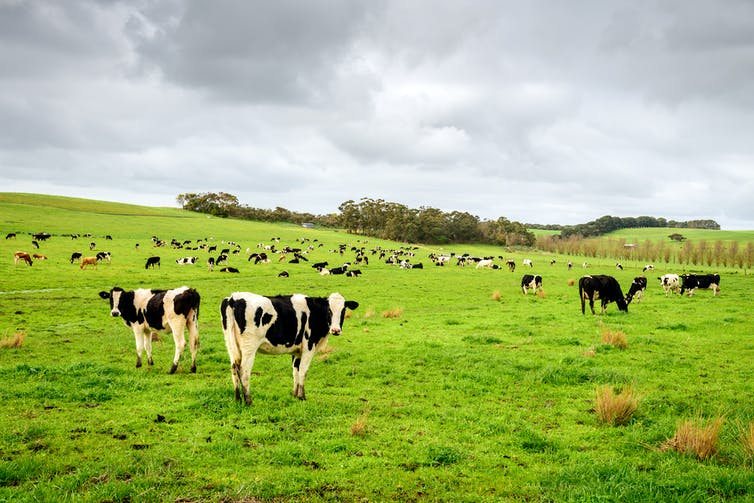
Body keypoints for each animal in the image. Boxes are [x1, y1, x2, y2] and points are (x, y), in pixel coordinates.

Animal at [217, 292, 358, 406]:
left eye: (343, 310)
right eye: (329, 310)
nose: (336, 330)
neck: (314, 312)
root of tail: (233, 298)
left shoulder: (297, 351)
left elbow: (295, 371)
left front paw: (295, 395)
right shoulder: (309, 347)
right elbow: (303, 371)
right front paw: (302, 396)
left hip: (230, 345)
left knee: (234, 368)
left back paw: (237, 399)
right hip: (249, 347)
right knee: (244, 371)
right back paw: (248, 401)